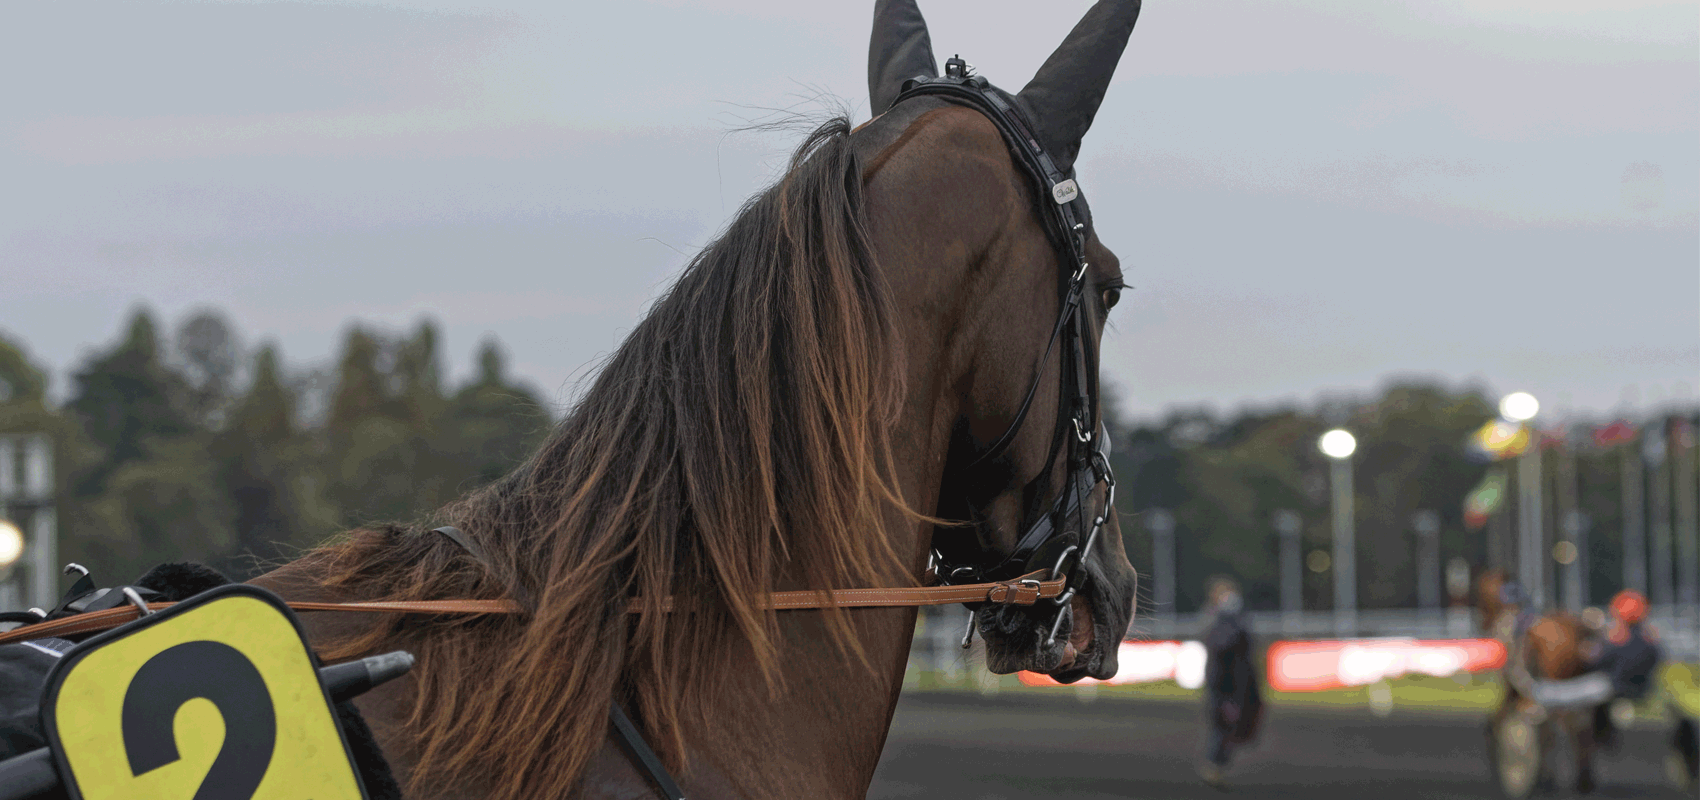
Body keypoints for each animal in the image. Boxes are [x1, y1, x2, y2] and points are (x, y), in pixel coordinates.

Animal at [1482, 570, 1598, 794]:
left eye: (1478, 594)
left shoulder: (1519, 690)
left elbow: (1498, 722)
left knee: (1570, 725)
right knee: (1579, 724)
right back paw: (1582, 779)